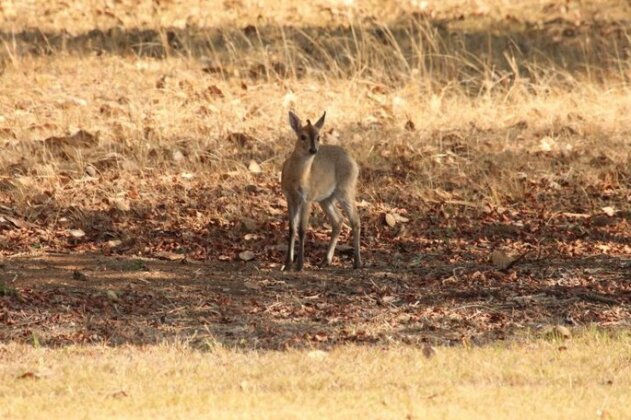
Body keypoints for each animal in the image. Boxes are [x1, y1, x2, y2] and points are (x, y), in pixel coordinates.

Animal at [280, 110, 362, 270]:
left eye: (318, 137)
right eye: (302, 136)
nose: (313, 150)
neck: (297, 178)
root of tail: (354, 162)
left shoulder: (307, 198)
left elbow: (302, 229)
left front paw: (299, 265)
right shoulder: (290, 197)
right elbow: (292, 229)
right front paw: (287, 264)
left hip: (345, 190)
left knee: (355, 220)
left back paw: (357, 262)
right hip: (326, 198)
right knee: (338, 220)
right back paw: (326, 260)